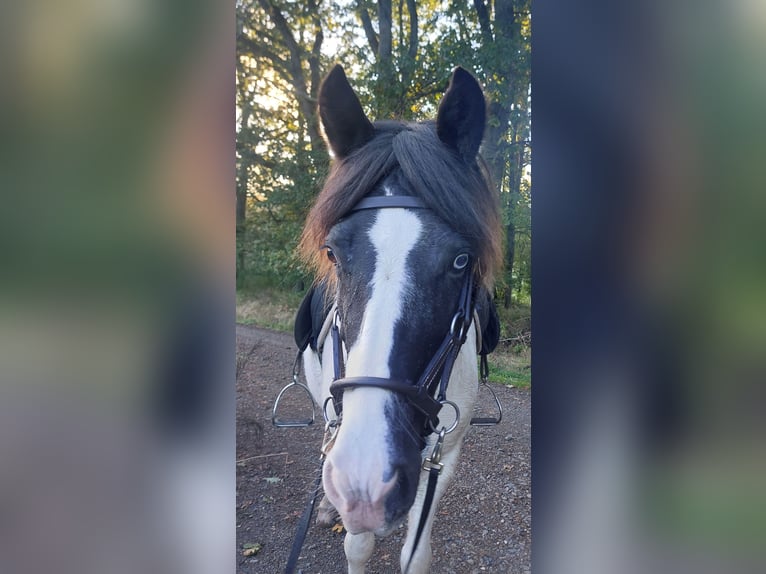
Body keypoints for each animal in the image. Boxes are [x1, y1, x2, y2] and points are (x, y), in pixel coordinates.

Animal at [292, 65, 500, 574]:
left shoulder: (446, 450)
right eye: (332, 252)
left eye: (461, 260)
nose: (366, 480)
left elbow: (415, 552)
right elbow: (358, 545)